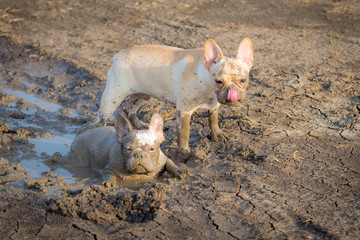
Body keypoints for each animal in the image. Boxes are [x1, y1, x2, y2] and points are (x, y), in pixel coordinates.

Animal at [95, 38, 253, 157]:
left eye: (243, 80)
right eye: (219, 81)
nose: (232, 90)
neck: (208, 85)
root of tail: (118, 56)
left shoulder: (214, 105)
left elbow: (213, 120)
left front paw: (217, 134)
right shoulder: (184, 111)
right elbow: (184, 132)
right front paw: (184, 152)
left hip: (141, 95)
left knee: (129, 109)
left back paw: (142, 126)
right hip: (113, 96)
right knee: (101, 120)